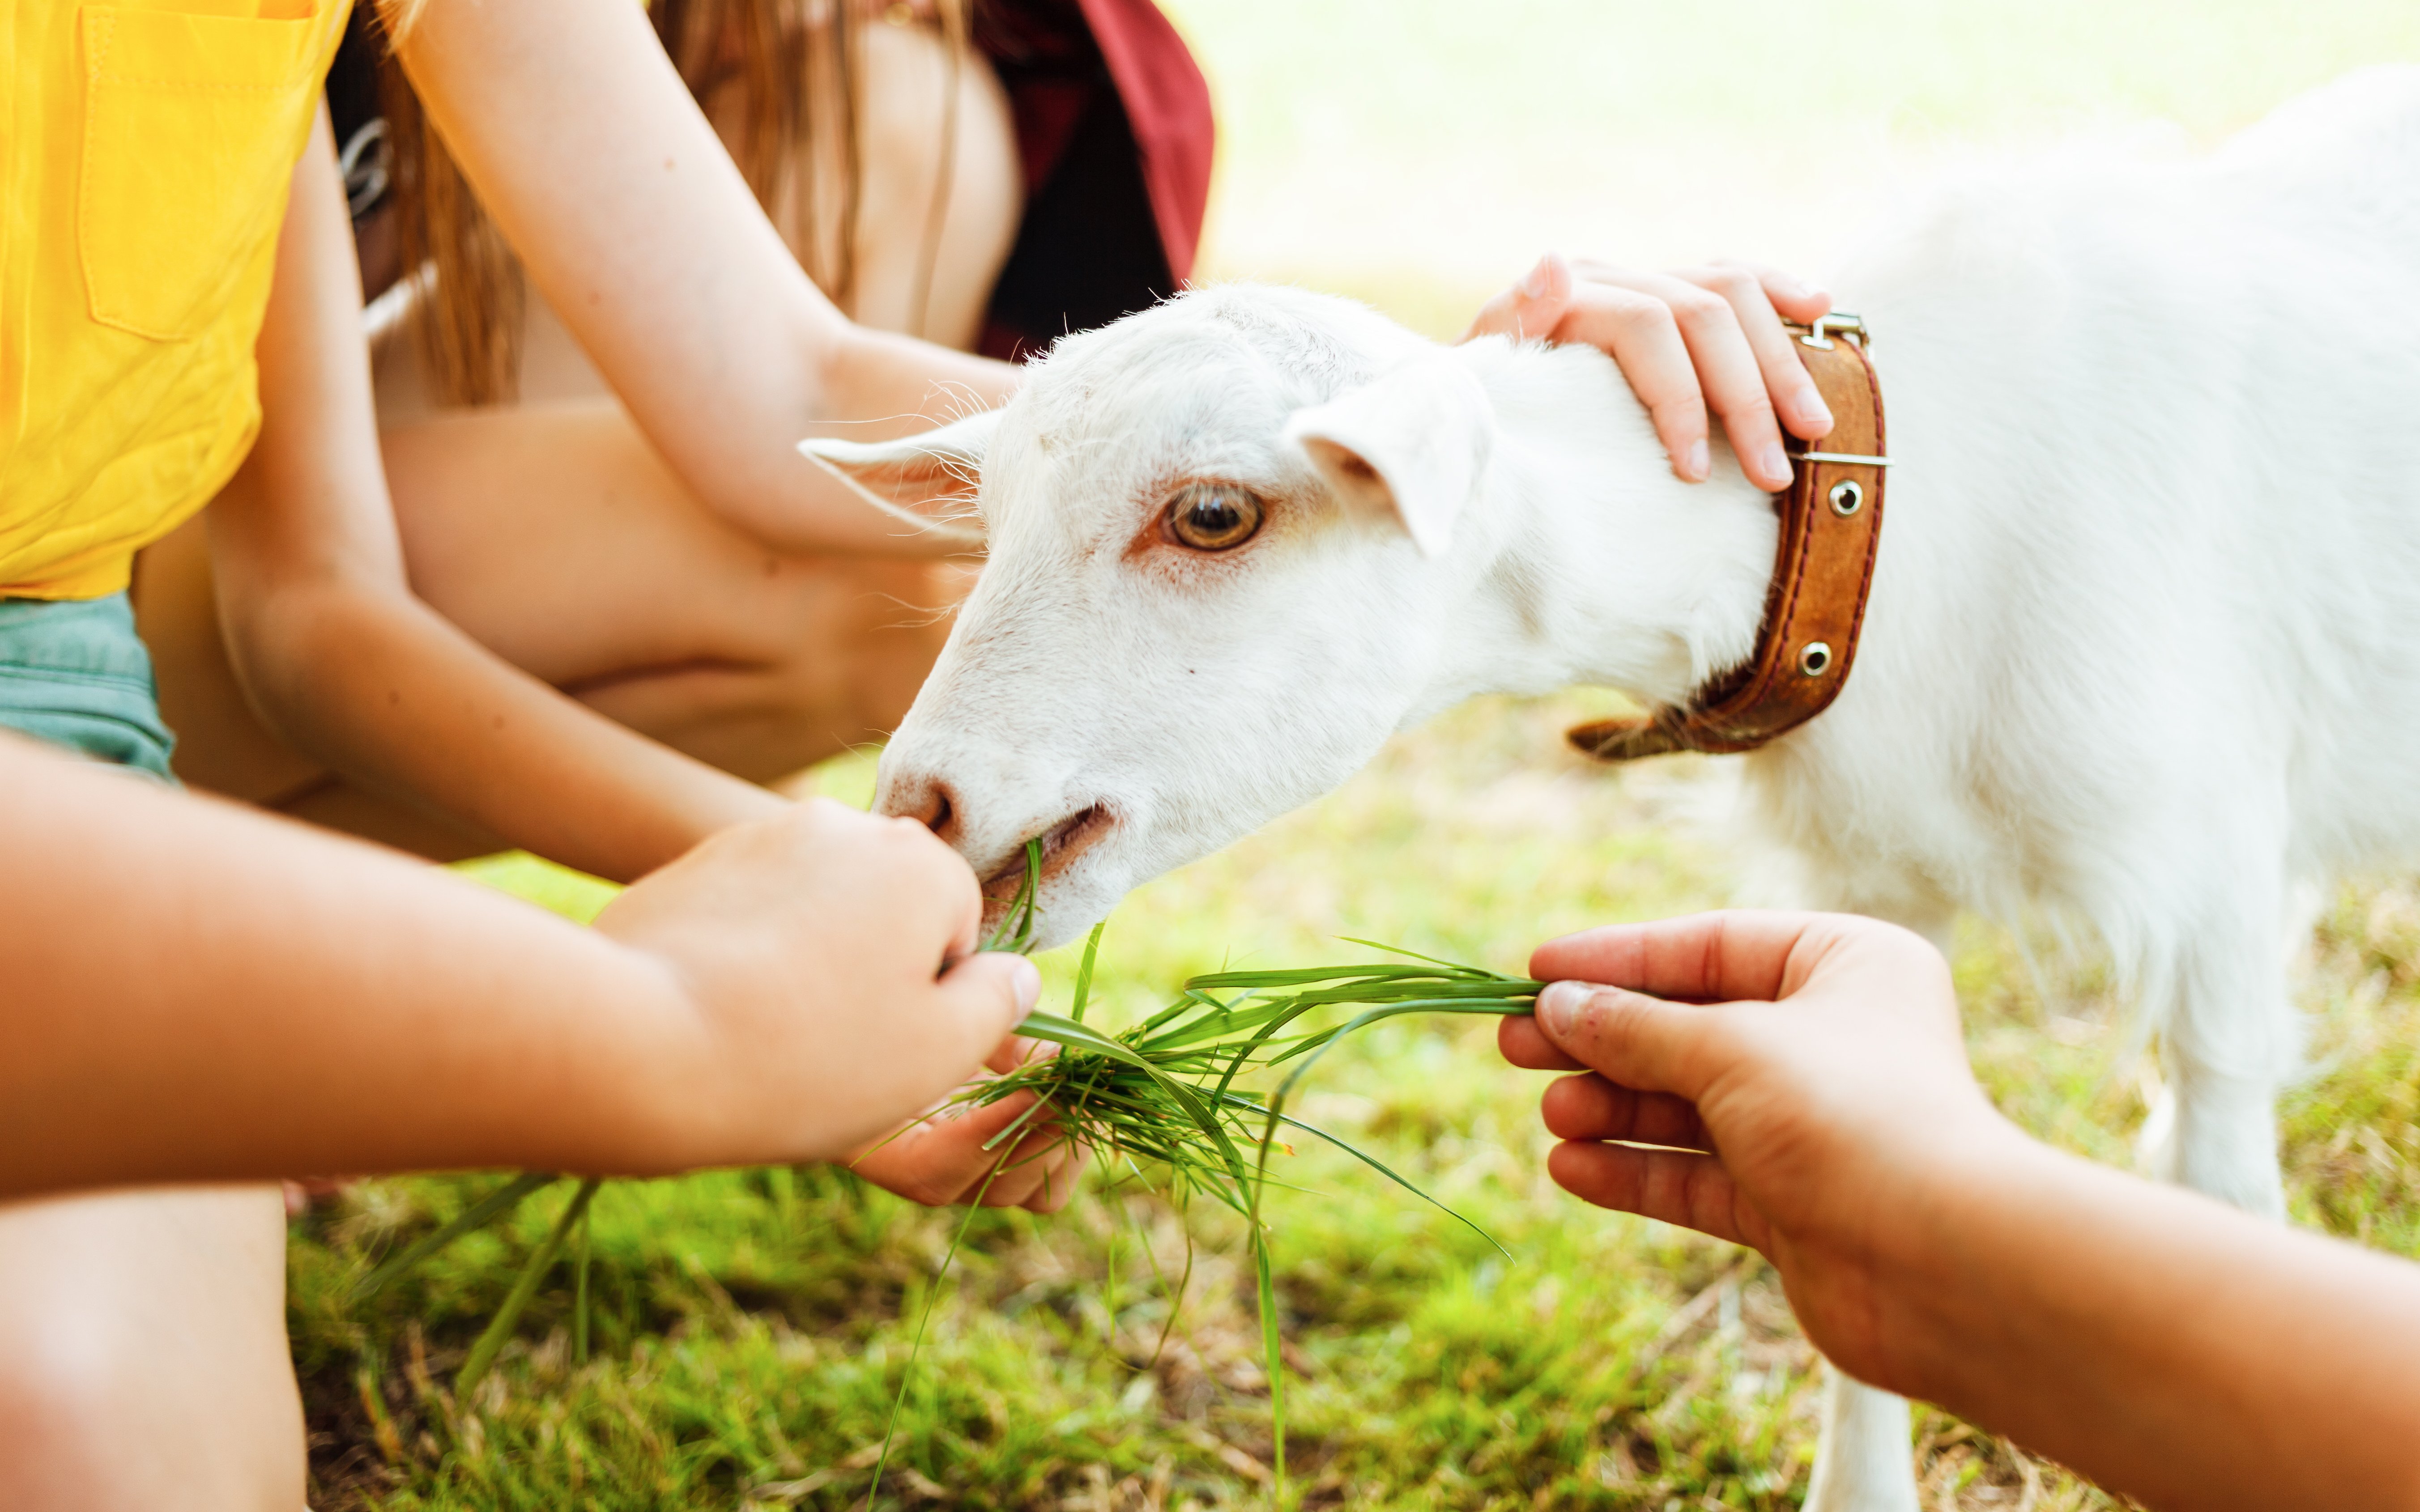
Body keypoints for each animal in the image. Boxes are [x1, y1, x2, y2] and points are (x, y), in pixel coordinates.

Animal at [806, 69, 2420, 1511]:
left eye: (1212, 513)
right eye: (993, 520)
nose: (922, 807)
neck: (1888, 519)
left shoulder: (2215, 876)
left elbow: (2220, 1200)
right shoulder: (1871, 887)